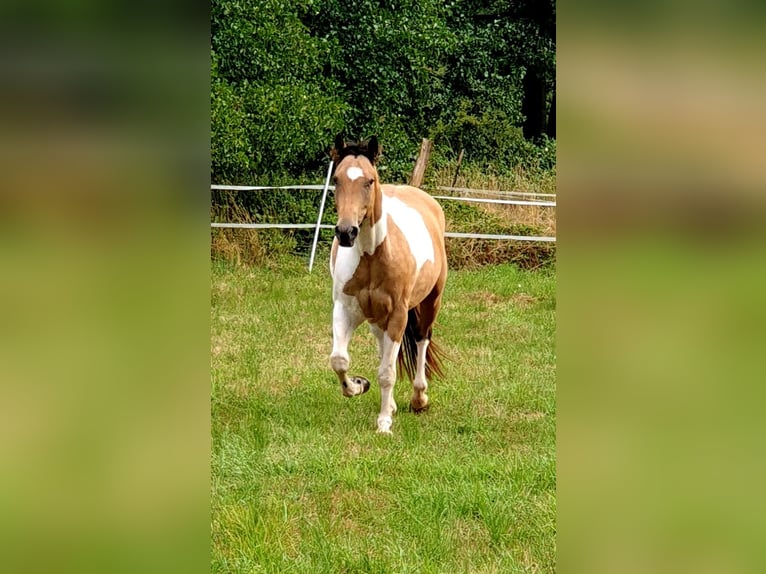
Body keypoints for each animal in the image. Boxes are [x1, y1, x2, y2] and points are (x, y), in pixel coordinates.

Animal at [328, 134, 448, 434]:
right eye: (336, 179)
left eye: (369, 181)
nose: (346, 232)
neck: (373, 257)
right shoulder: (344, 310)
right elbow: (340, 360)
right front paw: (359, 385)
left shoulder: (398, 314)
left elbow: (387, 372)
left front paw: (383, 424)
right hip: (376, 317)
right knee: (383, 347)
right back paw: (392, 403)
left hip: (431, 302)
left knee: (421, 339)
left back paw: (419, 399)